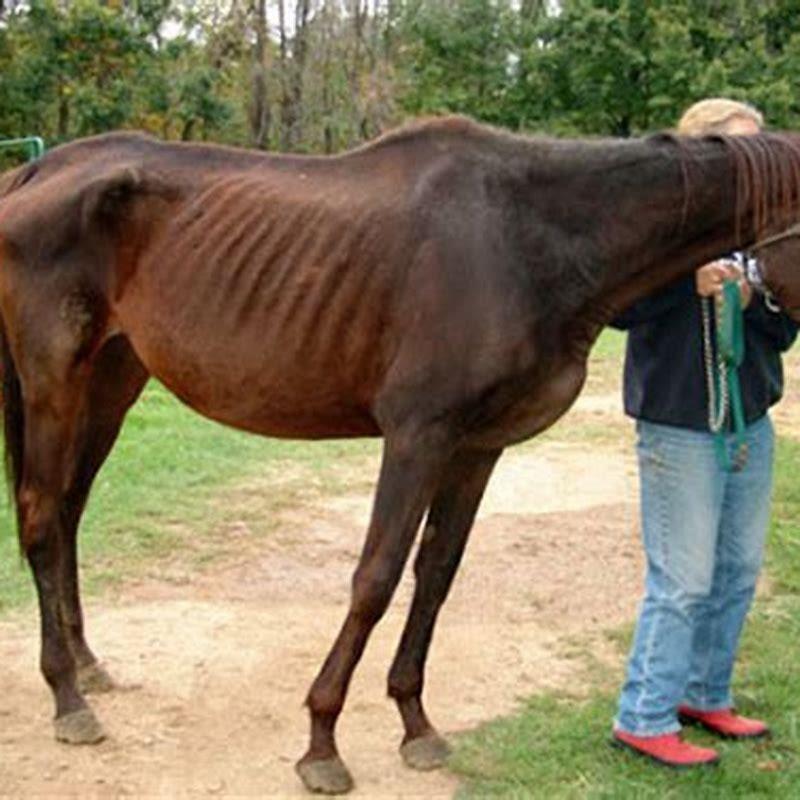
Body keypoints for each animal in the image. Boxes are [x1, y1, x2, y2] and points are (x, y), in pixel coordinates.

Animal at [1, 117, 800, 792]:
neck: (527, 238)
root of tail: (38, 169)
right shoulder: (418, 436)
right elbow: (376, 579)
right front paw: (322, 742)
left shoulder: (477, 448)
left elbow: (436, 575)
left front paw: (415, 724)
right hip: (54, 382)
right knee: (41, 518)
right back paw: (67, 699)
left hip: (111, 380)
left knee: (68, 514)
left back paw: (86, 666)